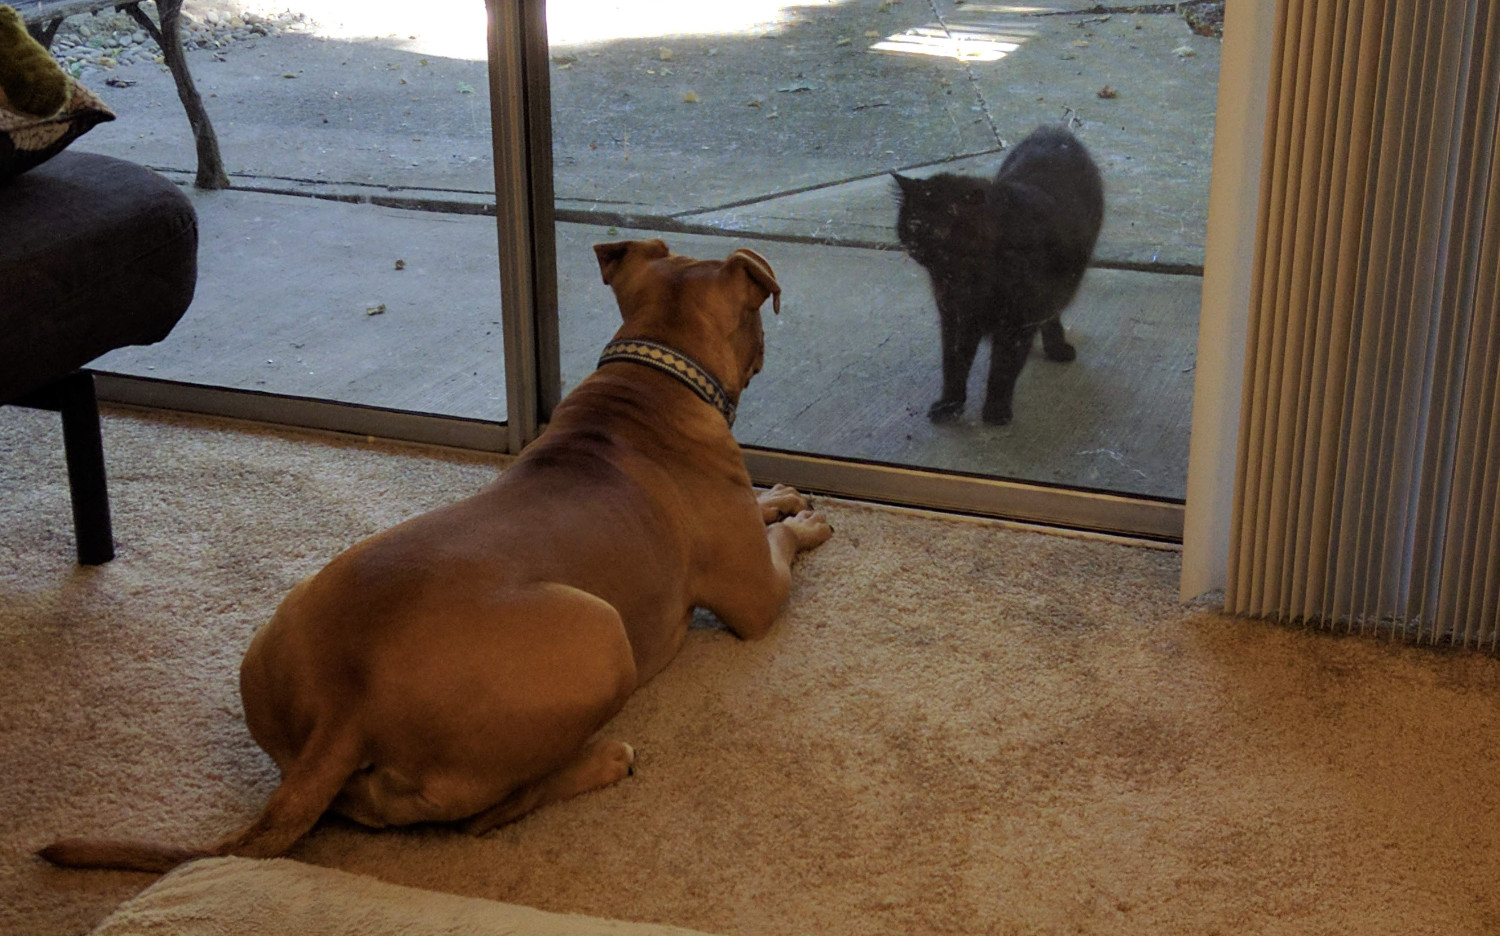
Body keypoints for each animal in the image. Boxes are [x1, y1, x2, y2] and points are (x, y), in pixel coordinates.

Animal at [38, 237, 834, 876]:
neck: (652, 378)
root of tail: (346, 706)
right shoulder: (756, 594)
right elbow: (781, 545)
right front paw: (809, 521)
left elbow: (763, 507)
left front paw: (782, 492)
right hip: (602, 633)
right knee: (489, 815)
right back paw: (604, 760)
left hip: (279, 634)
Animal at [888, 124, 1104, 423]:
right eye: (913, 222)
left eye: (942, 226)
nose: (921, 245)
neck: (969, 276)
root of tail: (1054, 131)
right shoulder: (956, 317)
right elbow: (954, 364)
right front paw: (950, 405)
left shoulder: (1016, 320)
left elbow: (1003, 366)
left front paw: (996, 411)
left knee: (1052, 311)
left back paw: (1056, 348)